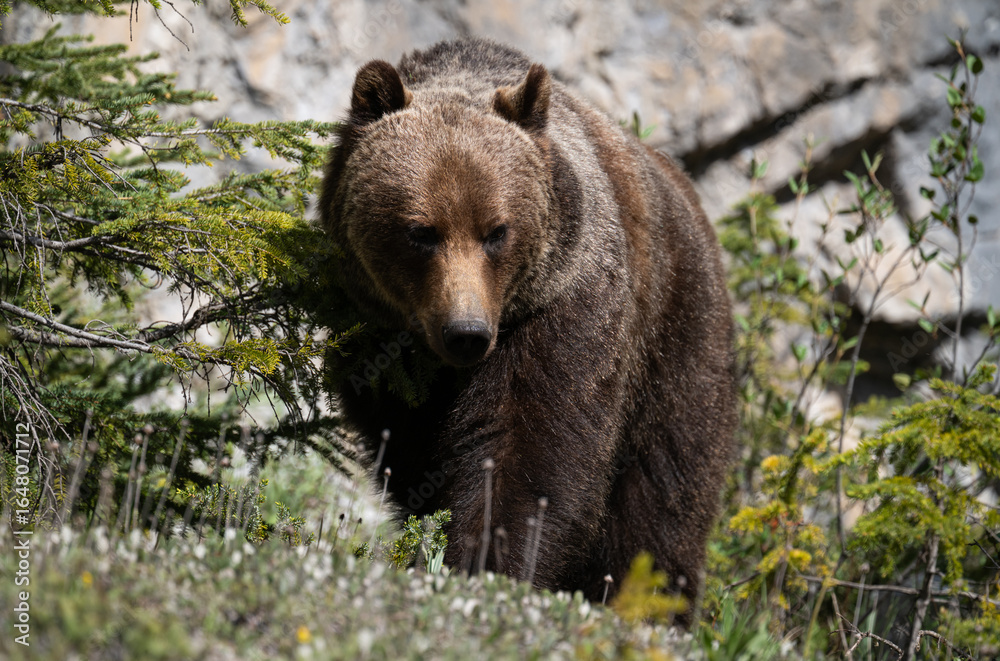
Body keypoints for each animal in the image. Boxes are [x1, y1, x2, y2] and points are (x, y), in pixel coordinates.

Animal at [319, 38, 736, 622]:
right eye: (422, 231)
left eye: (497, 231)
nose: (466, 332)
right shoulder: (376, 342)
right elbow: (415, 455)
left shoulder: (562, 307)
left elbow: (529, 447)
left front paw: (492, 563)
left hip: (678, 340)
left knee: (663, 493)